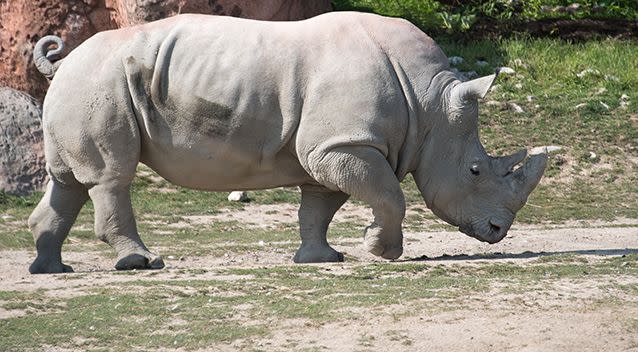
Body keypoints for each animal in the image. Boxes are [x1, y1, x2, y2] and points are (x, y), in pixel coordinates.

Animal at [30, 11, 548, 274]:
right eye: (475, 171)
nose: (498, 231)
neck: (429, 105)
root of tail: (63, 61)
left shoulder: (331, 148)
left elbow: (320, 205)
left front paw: (322, 258)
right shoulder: (344, 144)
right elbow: (390, 195)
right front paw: (381, 251)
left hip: (86, 84)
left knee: (67, 182)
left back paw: (52, 270)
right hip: (100, 81)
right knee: (111, 176)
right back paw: (142, 263)